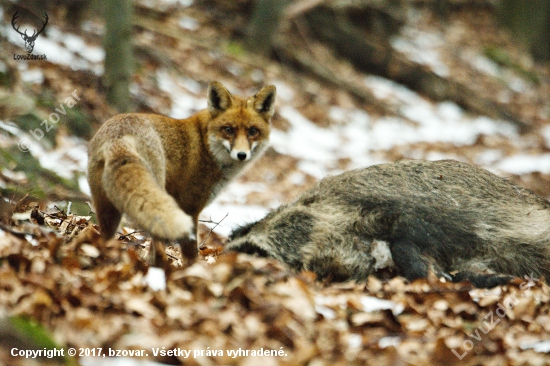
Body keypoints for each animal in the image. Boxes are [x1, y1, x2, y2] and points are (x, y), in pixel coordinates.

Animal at [89, 83, 278, 260]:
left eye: (252, 131)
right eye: (228, 129)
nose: (241, 155)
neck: (206, 145)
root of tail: (118, 136)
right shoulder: (190, 208)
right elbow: (190, 254)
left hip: (108, 208)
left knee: (106, 240)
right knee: (158, 248)